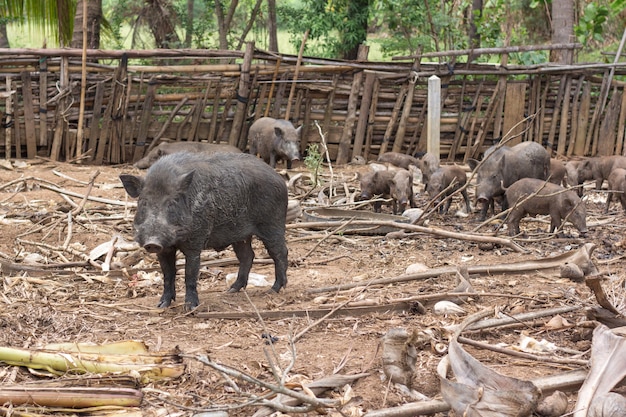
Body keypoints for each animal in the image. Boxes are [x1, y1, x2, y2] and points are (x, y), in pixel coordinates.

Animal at [118, 151, 288, 310]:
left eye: (172, 202)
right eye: (143, 202)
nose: (152, 242)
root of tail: (279, 178)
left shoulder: (195, 242)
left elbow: (190, 274)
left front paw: (190, 307)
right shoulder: (164, 249)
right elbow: (168, 274)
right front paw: (161, 305)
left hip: (273, 225)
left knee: (280, 253)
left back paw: (273, 290)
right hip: (241, 235)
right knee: (248, 256)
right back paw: (231, 290)